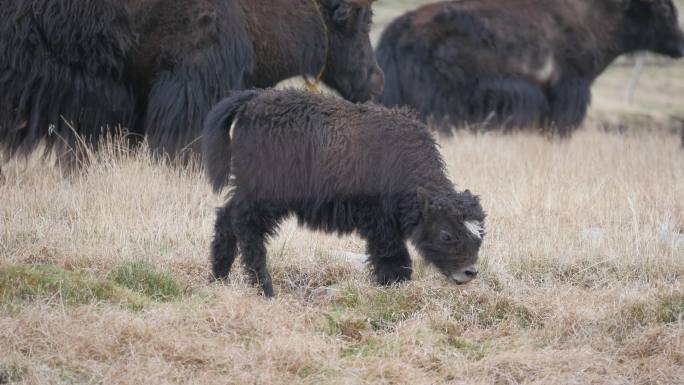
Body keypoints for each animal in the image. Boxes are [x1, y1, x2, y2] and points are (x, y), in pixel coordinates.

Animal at [203, 88, 486, 296]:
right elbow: (394, 256)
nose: (470, 272)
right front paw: (396, 285)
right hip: (264, 196)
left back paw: (218, 277)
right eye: (446, 234)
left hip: (248, 191)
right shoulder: (379, 223)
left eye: (480, 235)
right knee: (246, 228)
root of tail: (252, 101)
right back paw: (265, 289)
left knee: (225, 219)